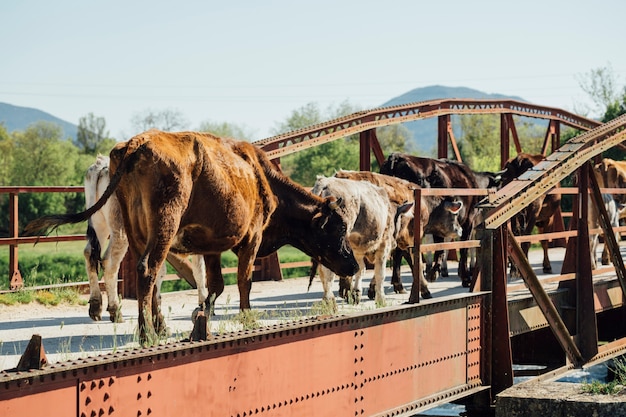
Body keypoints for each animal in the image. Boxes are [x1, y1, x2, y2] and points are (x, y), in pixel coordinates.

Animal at [24, 131, 358, 344]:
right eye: (338, 230)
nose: (353, 265)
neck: (260, 178)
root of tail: (137, 144)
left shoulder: (211, 247)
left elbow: (215, 283)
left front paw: (203, 313)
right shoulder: (251, 239)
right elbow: (243, 280)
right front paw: (246, 317)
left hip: (135, 230)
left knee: (131, 266)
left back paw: (144, 323)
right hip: (160, 227)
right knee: (144, 269)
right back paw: (144, 331)